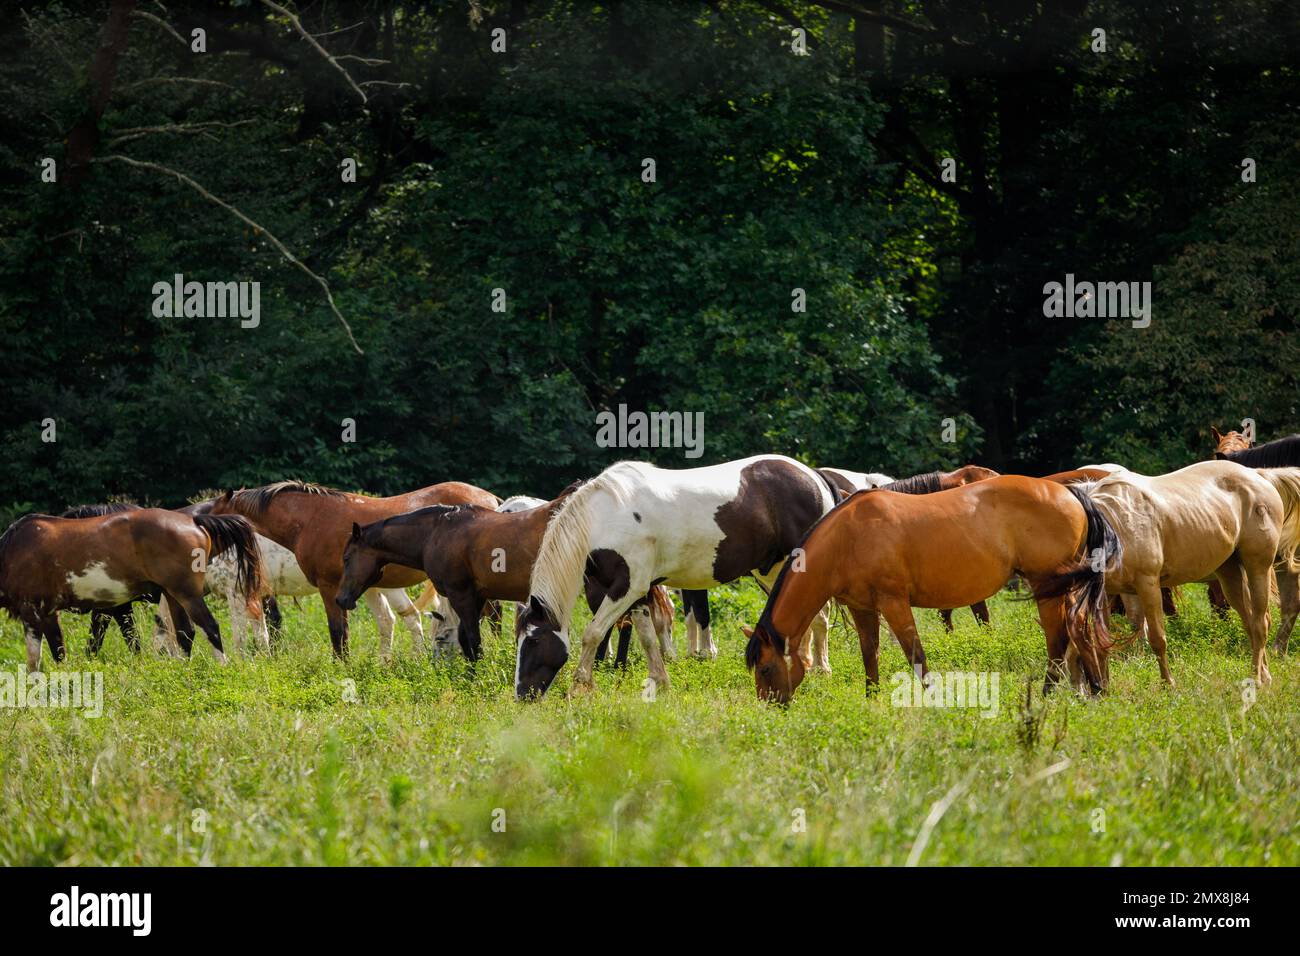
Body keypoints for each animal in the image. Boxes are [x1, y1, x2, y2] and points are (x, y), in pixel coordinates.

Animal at [0, 508, 261, 671]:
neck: (14, 548)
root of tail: (194, 520)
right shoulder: (48, 613)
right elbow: (58, 651)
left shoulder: (32, 611)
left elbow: (36, 658)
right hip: (172, 595)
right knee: (185, 634)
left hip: (187, 595)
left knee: (210, 627)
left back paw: (222, 667)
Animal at [210, 480, 498, 660]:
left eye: (214, 519)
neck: (310, 519)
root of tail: (490, 499)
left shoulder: (329, 587)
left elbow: (337, 631)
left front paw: (341, 666)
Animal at [516, 455, 839, 699]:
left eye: (533, 641)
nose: (523, 695)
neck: (604, 518)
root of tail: (813, 475)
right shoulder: (637, 593)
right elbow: (647, 638)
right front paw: (661, 682)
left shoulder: (626, 588)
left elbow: (592, 633)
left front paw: (579, 687)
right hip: (769, 572)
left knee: (819, 618)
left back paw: (820, 669)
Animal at [742, 476, 1121, 703]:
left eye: (765, 669)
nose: (771, 706)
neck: (846, 538)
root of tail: (1070, 492)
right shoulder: (862, 608)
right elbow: (870, 655)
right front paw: (872, 699)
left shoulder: (894, 603)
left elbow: (916, 655)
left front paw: (934, 699)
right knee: (1079, 630)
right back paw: (1096, 689)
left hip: (1048, 588)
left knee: (1059, 637)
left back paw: (1049, 692)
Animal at [1085, 460, 1300, 686]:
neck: (1116, 523)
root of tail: (1258, 475)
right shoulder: (1106, 595)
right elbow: (1102, 643)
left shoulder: (1148, 586)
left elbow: (1157, 639)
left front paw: (1168, 684)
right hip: (1230, 575)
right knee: (1251, 622)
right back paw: (1265, 676)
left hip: (1258, 568)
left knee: (1260, 624)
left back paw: (1256, 678)